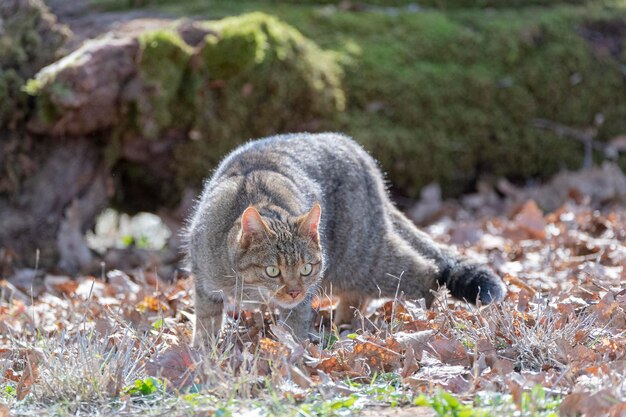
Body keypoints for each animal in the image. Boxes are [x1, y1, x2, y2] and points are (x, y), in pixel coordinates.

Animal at [184, 132, 502, 342]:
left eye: (306, 268)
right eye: (272, 271)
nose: (294, 291)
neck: (248, 288)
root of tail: (357, 150)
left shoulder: (304, 298)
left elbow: (293, 330)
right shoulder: (204, 283)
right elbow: (207, 320)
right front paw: (204, 355)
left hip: (362, 260)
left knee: (427, 274)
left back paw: (426, 319)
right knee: (359, 294)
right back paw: (344, 324)